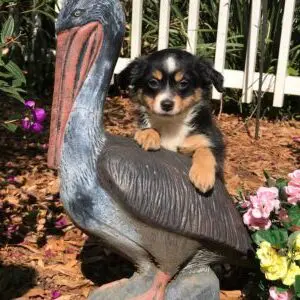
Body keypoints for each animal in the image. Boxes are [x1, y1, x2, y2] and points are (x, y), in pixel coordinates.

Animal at [116, 48, 225, 191]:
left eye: (183, 83)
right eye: (153, 82)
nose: (167, 104)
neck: (171, 123)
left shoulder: (211, 139)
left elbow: (205, 149)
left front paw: (203, 175)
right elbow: (146, 128)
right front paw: (149, 135)